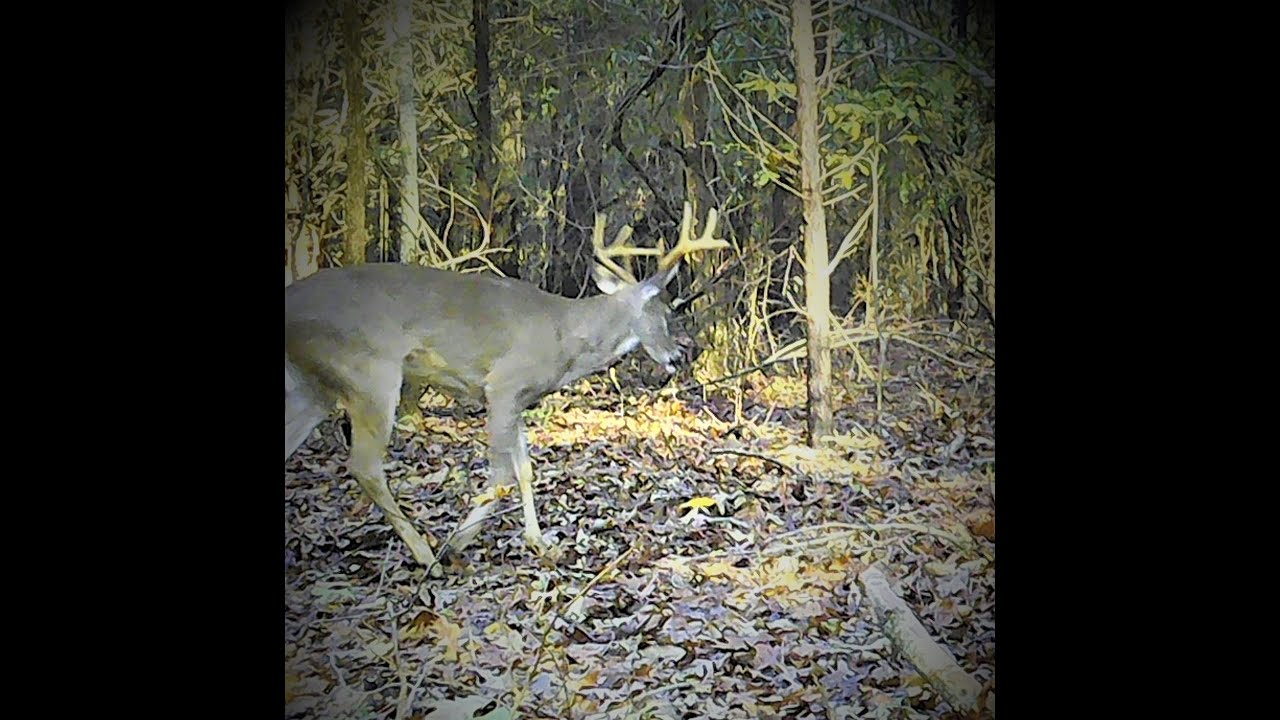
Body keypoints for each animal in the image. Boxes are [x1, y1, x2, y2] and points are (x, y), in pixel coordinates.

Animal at [285, 202, 727, 574]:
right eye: (666, 313)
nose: (678, 356)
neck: (565, 336)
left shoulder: (518, 398)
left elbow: (525, 467)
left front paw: (539, 542)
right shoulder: (502, 384)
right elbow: (501, 473)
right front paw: (456, 543)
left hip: (312, 386)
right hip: (369, 373)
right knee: (365, 466)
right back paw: (426, 555)